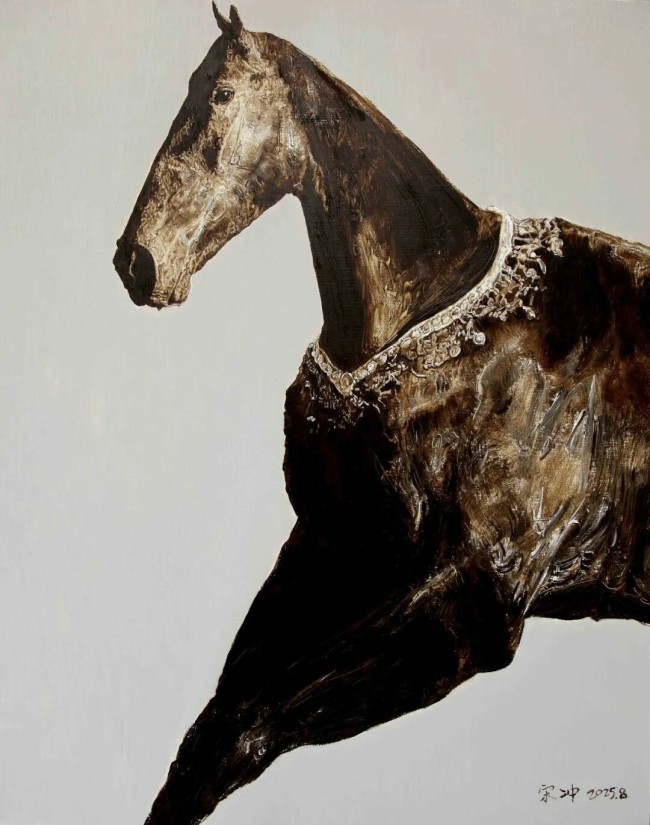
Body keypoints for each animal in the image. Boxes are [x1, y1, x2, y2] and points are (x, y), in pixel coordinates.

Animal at [113, 6, 650, 824]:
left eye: (220, 97)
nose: (137, 262)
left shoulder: (471, 604)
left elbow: (250, 725)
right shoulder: (331, 552)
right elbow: (213, 730)